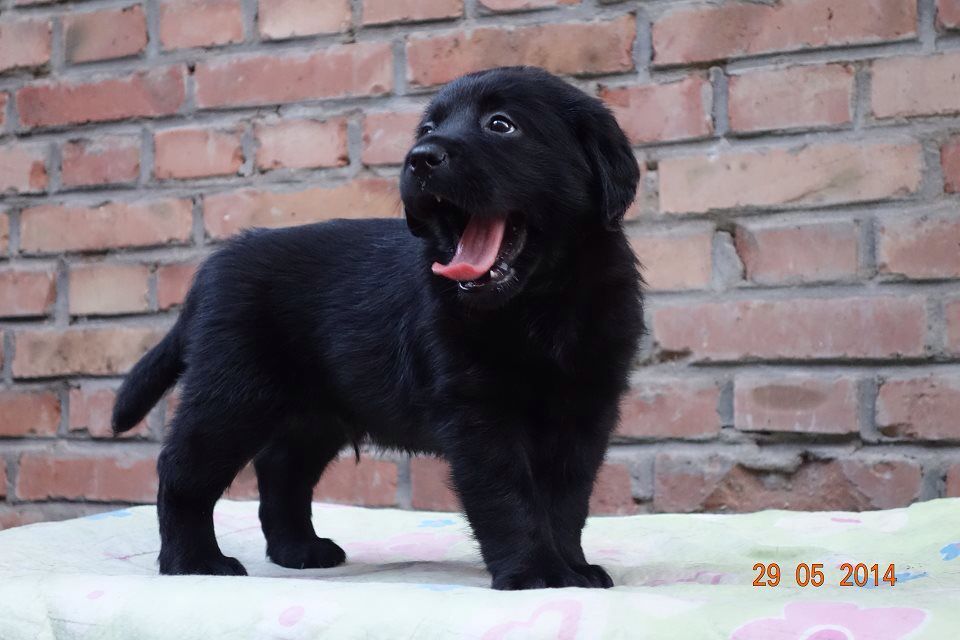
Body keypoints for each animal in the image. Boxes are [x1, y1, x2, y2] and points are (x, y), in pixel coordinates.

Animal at [112, 66, 643, 590]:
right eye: (427, 129)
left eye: (501, 124)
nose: (420, 158)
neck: (538, 306)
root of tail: (210, 269)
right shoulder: (479, 414)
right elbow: (510, 497)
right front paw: (538, 575)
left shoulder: (586, 411)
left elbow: (566, 501)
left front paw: (573, 569)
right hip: (232, 392)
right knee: (182, 470)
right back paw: (193, 561)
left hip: (315, 413)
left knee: (281, 470)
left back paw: (299, 551)